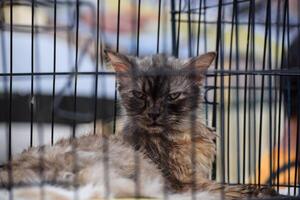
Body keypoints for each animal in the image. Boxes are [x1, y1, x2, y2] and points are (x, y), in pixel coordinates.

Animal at [0, 50, 278, 199]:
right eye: (140, 95)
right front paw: (261, 190)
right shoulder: (183, 182)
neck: (182, 134)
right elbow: (227, 188)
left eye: (172, 96)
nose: (153, 113)